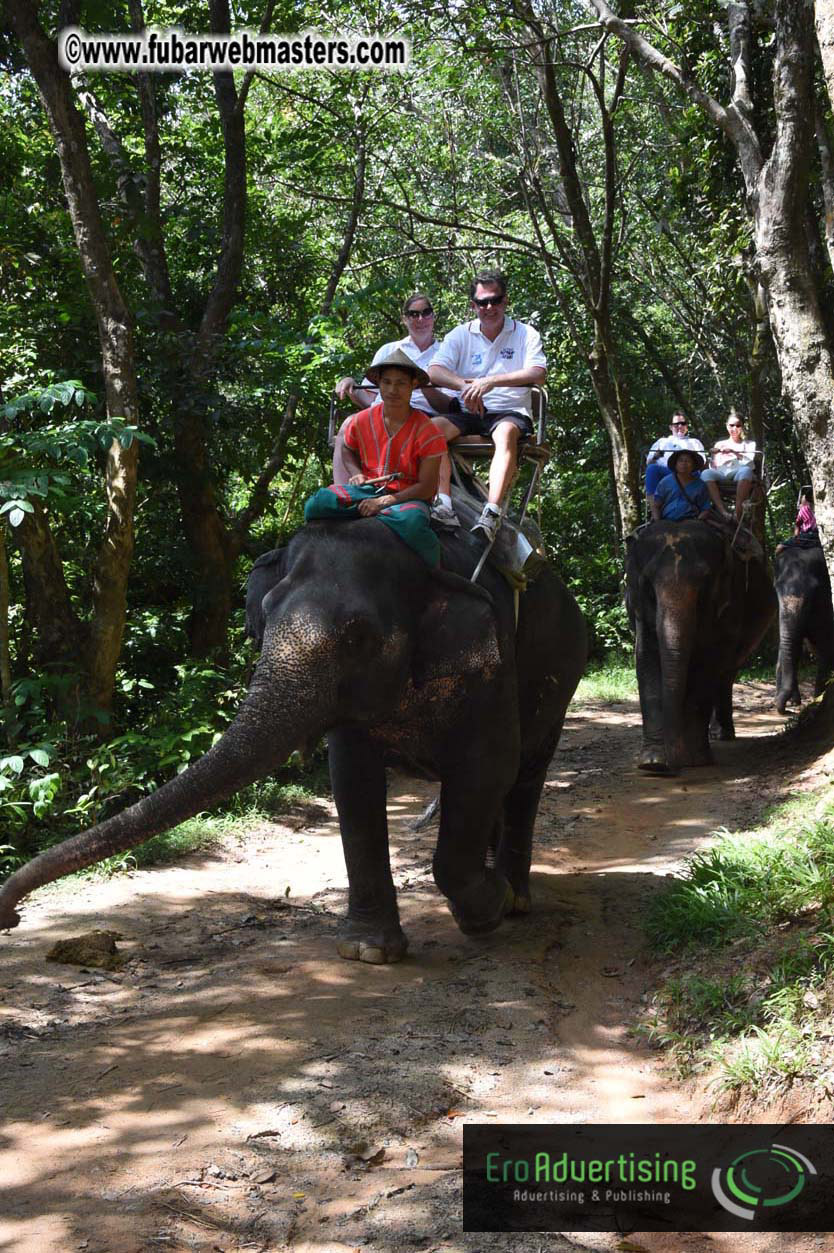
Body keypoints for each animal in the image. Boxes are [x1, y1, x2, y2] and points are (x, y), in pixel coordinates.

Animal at [0, 517, 587, 962]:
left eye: (358, 636)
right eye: (265, 617)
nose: (12, 915)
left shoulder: (495, 660)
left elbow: (487, 767)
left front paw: (486, 912)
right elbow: (351, 782)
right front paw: (369, 951)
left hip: (561, 673)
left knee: (525, 775)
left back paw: (516, 899)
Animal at [625, 520, 776, 775]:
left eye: (705, 583)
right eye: (648, 585)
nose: (671, 767)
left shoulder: (729, 603)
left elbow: (708, 663)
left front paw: (695, 760)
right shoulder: (639, 609)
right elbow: (646, 659)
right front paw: (653, 762)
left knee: (726, 674)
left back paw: (721, 734)